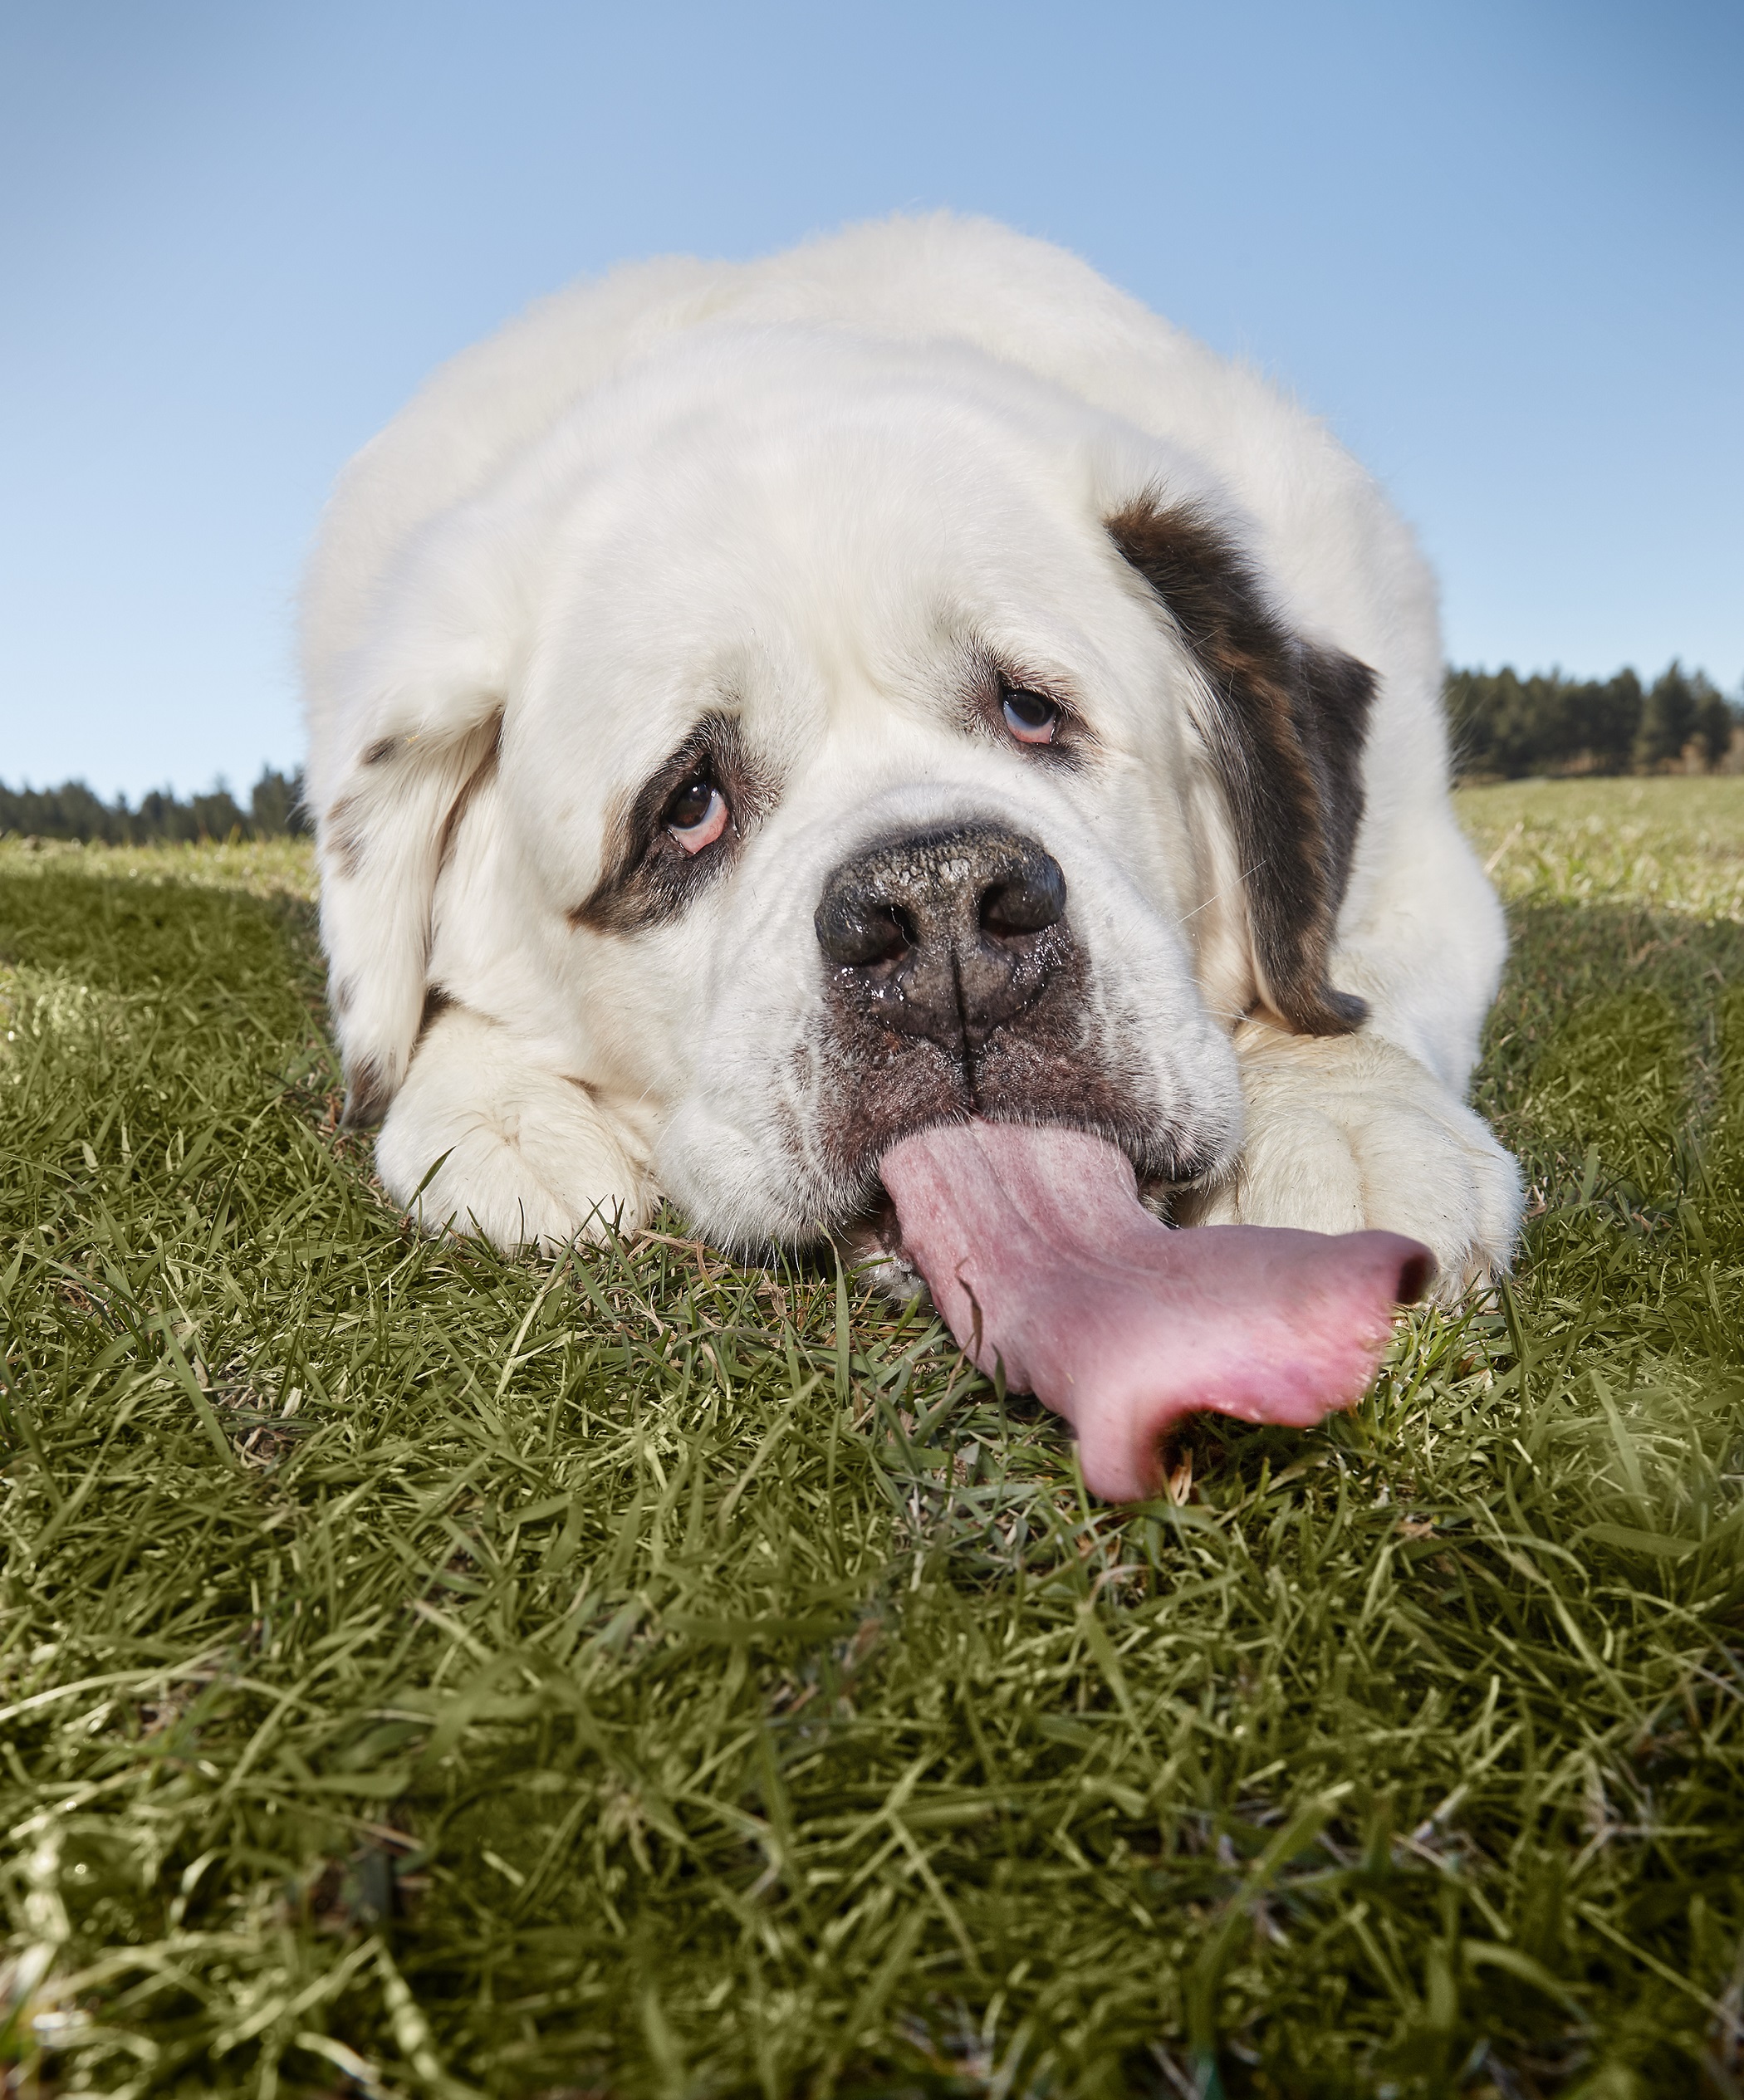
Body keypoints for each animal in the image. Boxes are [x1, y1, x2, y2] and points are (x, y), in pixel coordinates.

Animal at [304, 213, 1529, 1344]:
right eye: (689, 808)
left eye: (1031, 712)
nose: (940, 907)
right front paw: (501, 1113)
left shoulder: (1417, 848)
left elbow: (1345, 970)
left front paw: (1347, 1125)